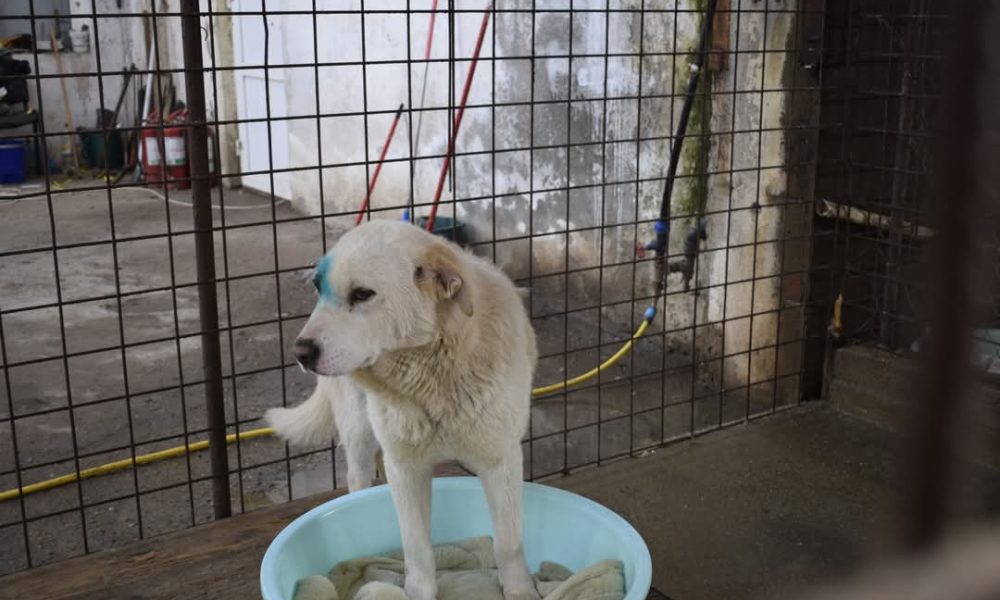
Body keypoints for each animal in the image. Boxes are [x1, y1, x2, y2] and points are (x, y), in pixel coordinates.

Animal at [265, 220, 540, 600]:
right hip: (359, 429)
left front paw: (519, 591)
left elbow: (508, 544)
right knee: (358, 475)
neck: (430, 381)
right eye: (318, 288)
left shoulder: (502, 461)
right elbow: (417, 548)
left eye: (362, 294)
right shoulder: (406, 469)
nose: (300, 352)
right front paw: (418, 591)